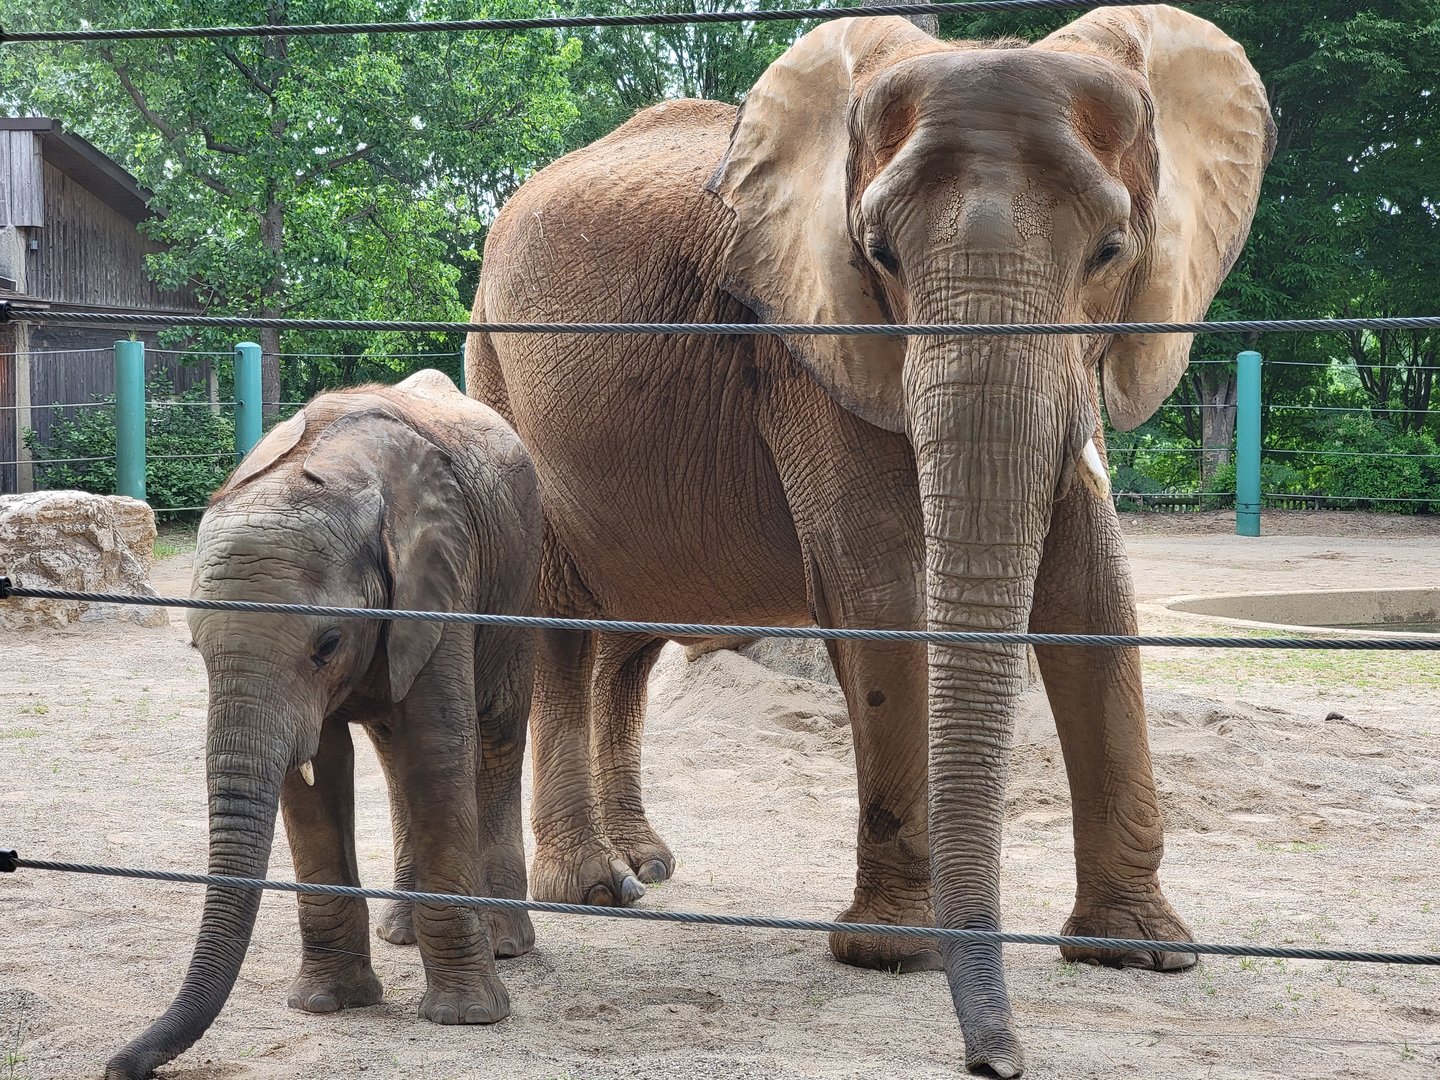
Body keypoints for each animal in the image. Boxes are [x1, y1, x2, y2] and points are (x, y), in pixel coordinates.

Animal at [105, 370, 542, 1080]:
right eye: (197, 648)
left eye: (328, 643)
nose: (120, 1066)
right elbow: (316, 774)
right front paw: (328, 1005)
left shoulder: (441, 578)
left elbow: (438, 750)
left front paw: (468, 1017)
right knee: (392, 754)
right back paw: (401, 933)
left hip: (521, 571)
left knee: (496, 729)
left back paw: (504, 942)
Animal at [467, 6, 1273, 1075]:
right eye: (879, 254)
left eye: (1110, 251)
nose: (996, 1061)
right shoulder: (803, 338)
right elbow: (884, 581)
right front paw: (895, 952)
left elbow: (1094, 589)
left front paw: (1141, 953)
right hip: (499, 369)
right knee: (558, 624)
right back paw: (596, 890)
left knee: (628, 644)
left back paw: (647, 864)